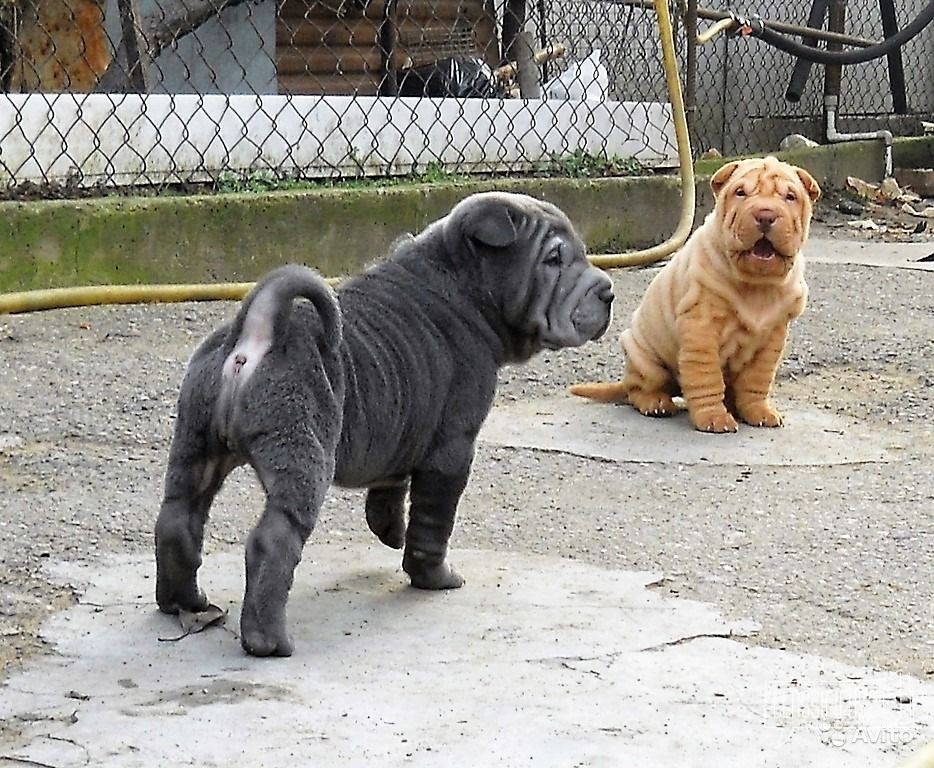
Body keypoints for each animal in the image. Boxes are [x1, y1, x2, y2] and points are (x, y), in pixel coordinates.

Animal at [154, 190, 616, 656]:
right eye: (554, 259)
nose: (609, 291)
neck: (460, 280)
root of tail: (258, 332)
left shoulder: (400, 428)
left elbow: (389, 492)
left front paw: (390, 532)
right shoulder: (452, 449)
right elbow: (433, 523)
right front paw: (435, 578)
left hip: (197, 447)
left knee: (177, 523)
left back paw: (184, 602)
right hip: (302, 457)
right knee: (272, 542)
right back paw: (269, 641)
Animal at [576, 156, 824, 432]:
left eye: (790, 197)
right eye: (740, 193)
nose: (765, 215)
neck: (756, 284)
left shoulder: (772, 339)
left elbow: (757, 381)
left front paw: (759, 412)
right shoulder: (701, 329)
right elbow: (707, 377)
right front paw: (714, 418)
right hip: (645, 358)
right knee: (638, 389)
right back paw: (656, 403)